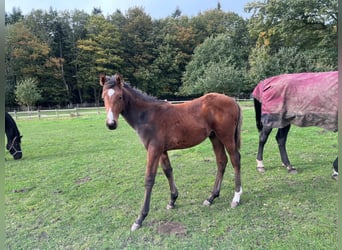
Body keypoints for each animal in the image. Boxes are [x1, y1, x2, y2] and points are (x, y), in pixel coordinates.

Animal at [100, 73, 242, 231]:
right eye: (103, 97)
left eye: (119, 97)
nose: (111, 124)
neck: (147, 115)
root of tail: (232, 101)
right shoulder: (161, 150)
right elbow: (168, 171)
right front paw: (172, 200)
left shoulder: (153, 150)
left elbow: (149, 179)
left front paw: (140, 218)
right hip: (215, 137)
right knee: (221, 161)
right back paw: (211, 197)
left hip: (226, 137)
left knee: (235, 159)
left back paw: (236, 198)